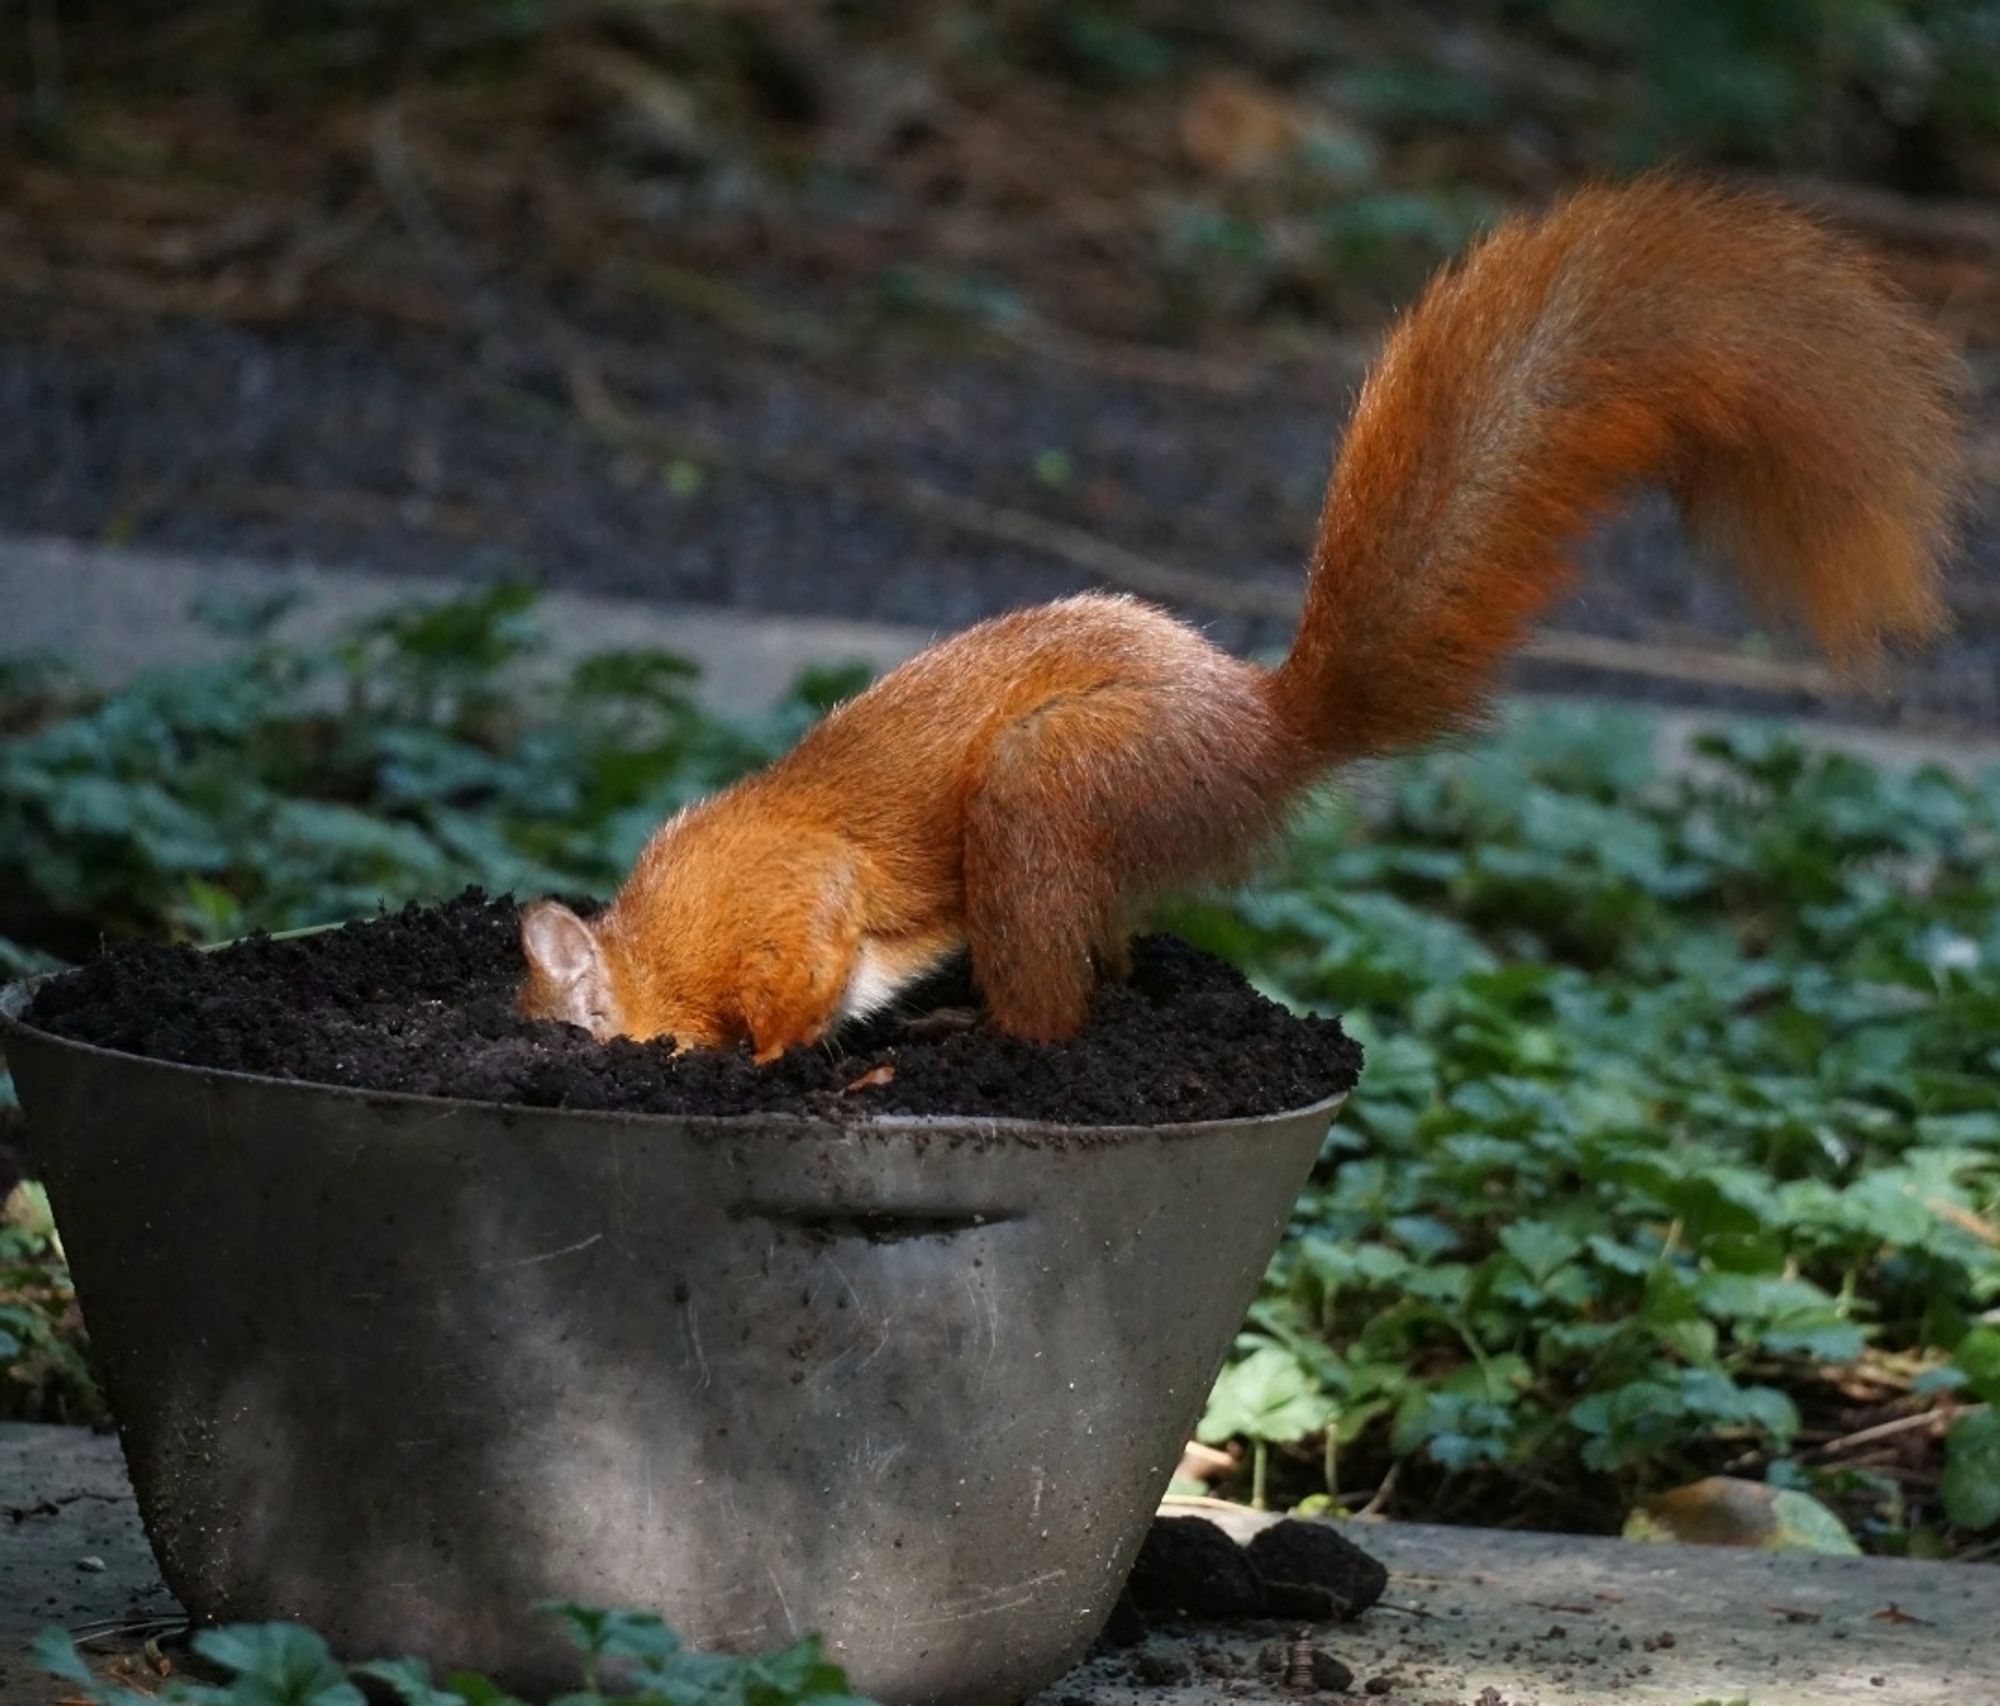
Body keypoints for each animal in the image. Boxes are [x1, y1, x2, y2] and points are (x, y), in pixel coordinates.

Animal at [512, 180, 1952, 1056]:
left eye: (557, 1027)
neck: (662, 938)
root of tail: (1264, 732)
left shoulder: (784, 897)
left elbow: (801, 973)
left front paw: (763, 1064)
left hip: (1055, 783)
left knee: (1056, 1000)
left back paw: (979, 1035)